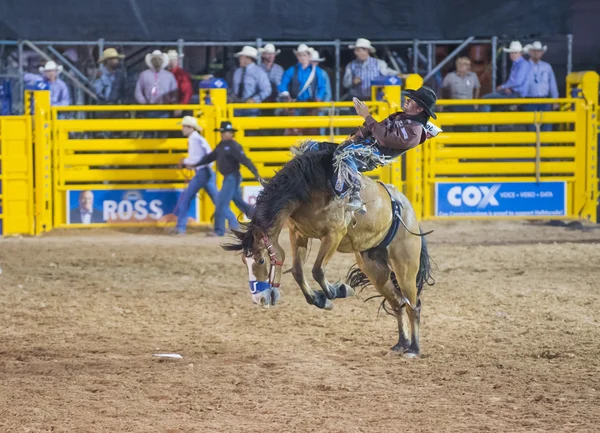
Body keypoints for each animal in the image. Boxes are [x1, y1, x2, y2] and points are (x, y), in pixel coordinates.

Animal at [223, 143, 434, 358]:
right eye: (244, 261)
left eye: (261, 260)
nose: (259, 299)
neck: (307, 187)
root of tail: (406, 209)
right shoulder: (298, 234)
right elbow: (298, 272)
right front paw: (320, 299)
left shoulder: (334, 234)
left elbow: (317, 270)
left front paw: (337, 291)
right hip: (375, 271)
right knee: (397, 302)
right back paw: (401, 343)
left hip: (405, 268)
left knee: (413, 305)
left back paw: (414, 349)